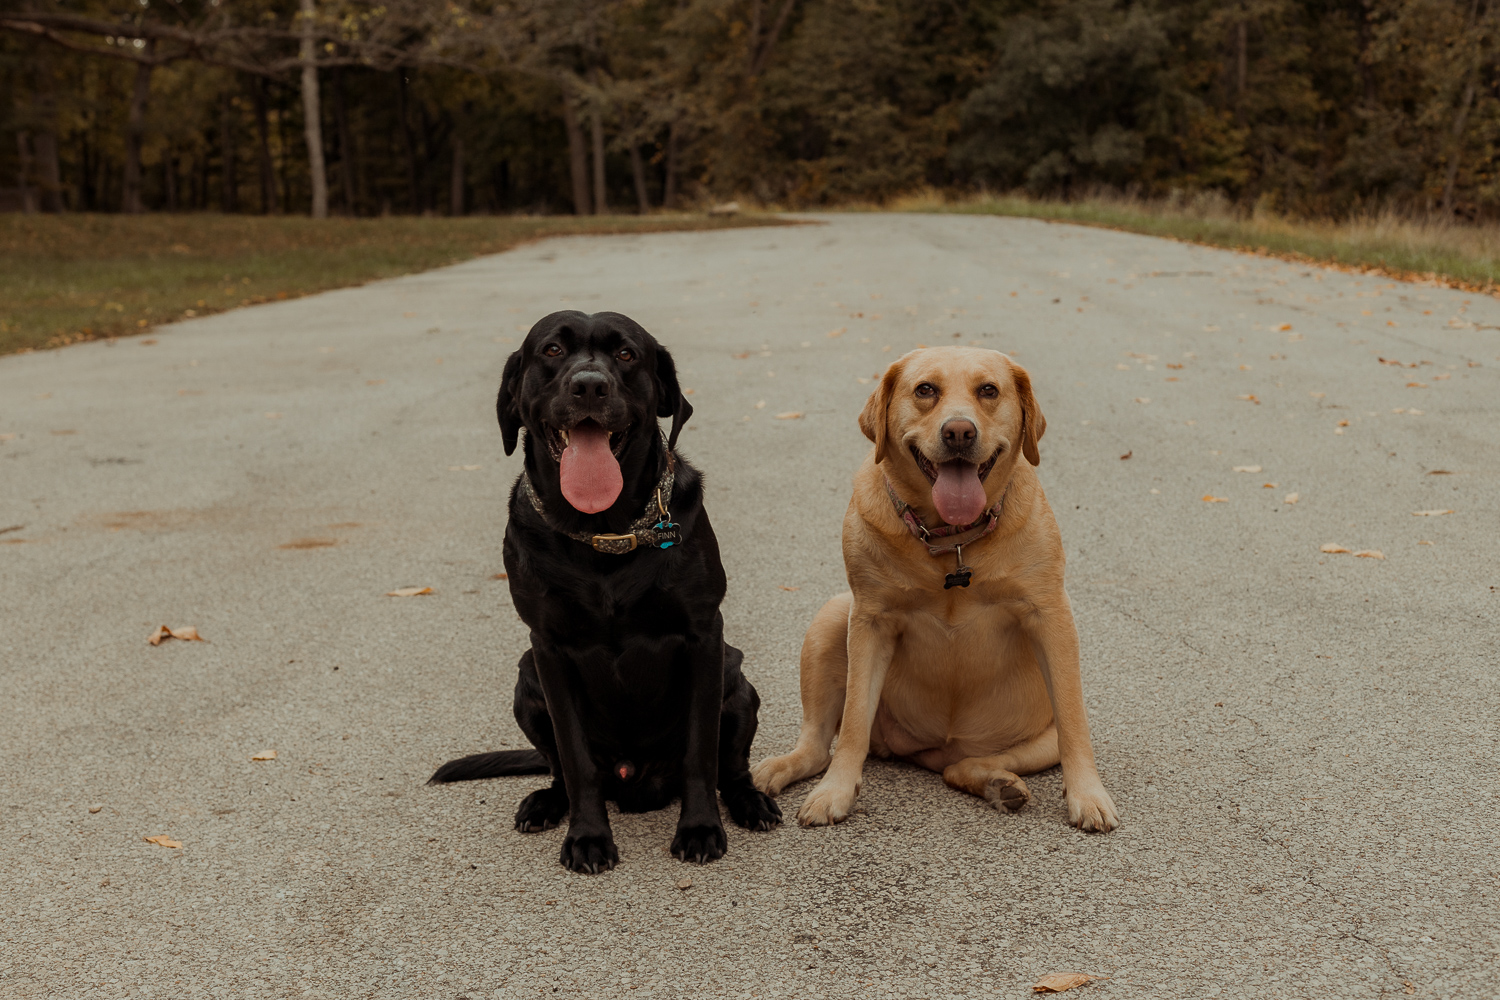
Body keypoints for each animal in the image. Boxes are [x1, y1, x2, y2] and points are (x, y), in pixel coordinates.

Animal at [432, 308, 786, 869]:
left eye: (626, 354)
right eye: (552, 350)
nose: (589, 385)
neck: (604, 532)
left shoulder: (703, 636)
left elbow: (700, 750)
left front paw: (700, 829)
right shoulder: (548, 649)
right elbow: (576, 759)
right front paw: (588, 837)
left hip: (737, 679)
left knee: (730, 765)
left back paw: (750, 802)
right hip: (526, 681)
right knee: (559, 768)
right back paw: (545, 803)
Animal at [756, 347, 1122, 833]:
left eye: (989, 390)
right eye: (925, 389)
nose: (959, 431)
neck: (954, 539)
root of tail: (933, 749)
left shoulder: (1051, 616)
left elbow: (1075, 724)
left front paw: (1087, 794)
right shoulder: (869, 621)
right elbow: (851, 723)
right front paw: (835, 792)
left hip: (1030, 744)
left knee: (961, 768)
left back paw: (998, 783)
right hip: (833, 615)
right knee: (818, 746)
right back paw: (780, 768)